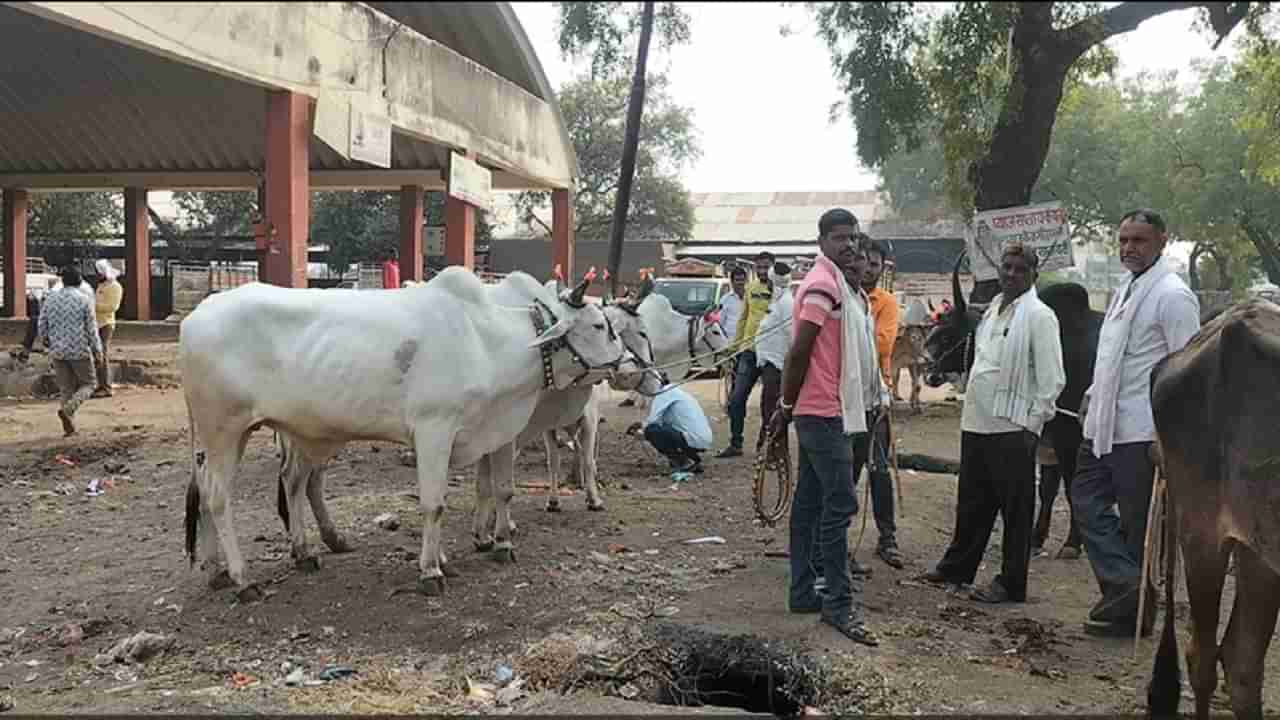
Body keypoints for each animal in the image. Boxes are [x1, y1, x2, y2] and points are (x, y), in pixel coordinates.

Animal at [181, 266, 634, 597]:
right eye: (599, 326)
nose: (630, 364)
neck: (486, 339)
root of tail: (194, 317)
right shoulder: (434, 430)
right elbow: (434, 504)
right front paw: (432, 570)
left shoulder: (494, 433)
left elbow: (501, 490)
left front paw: (497, 545)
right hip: (224, 430)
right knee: (219, 497)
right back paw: (242, 579)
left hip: (277, 434)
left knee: (274, 484)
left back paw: (271, 560)